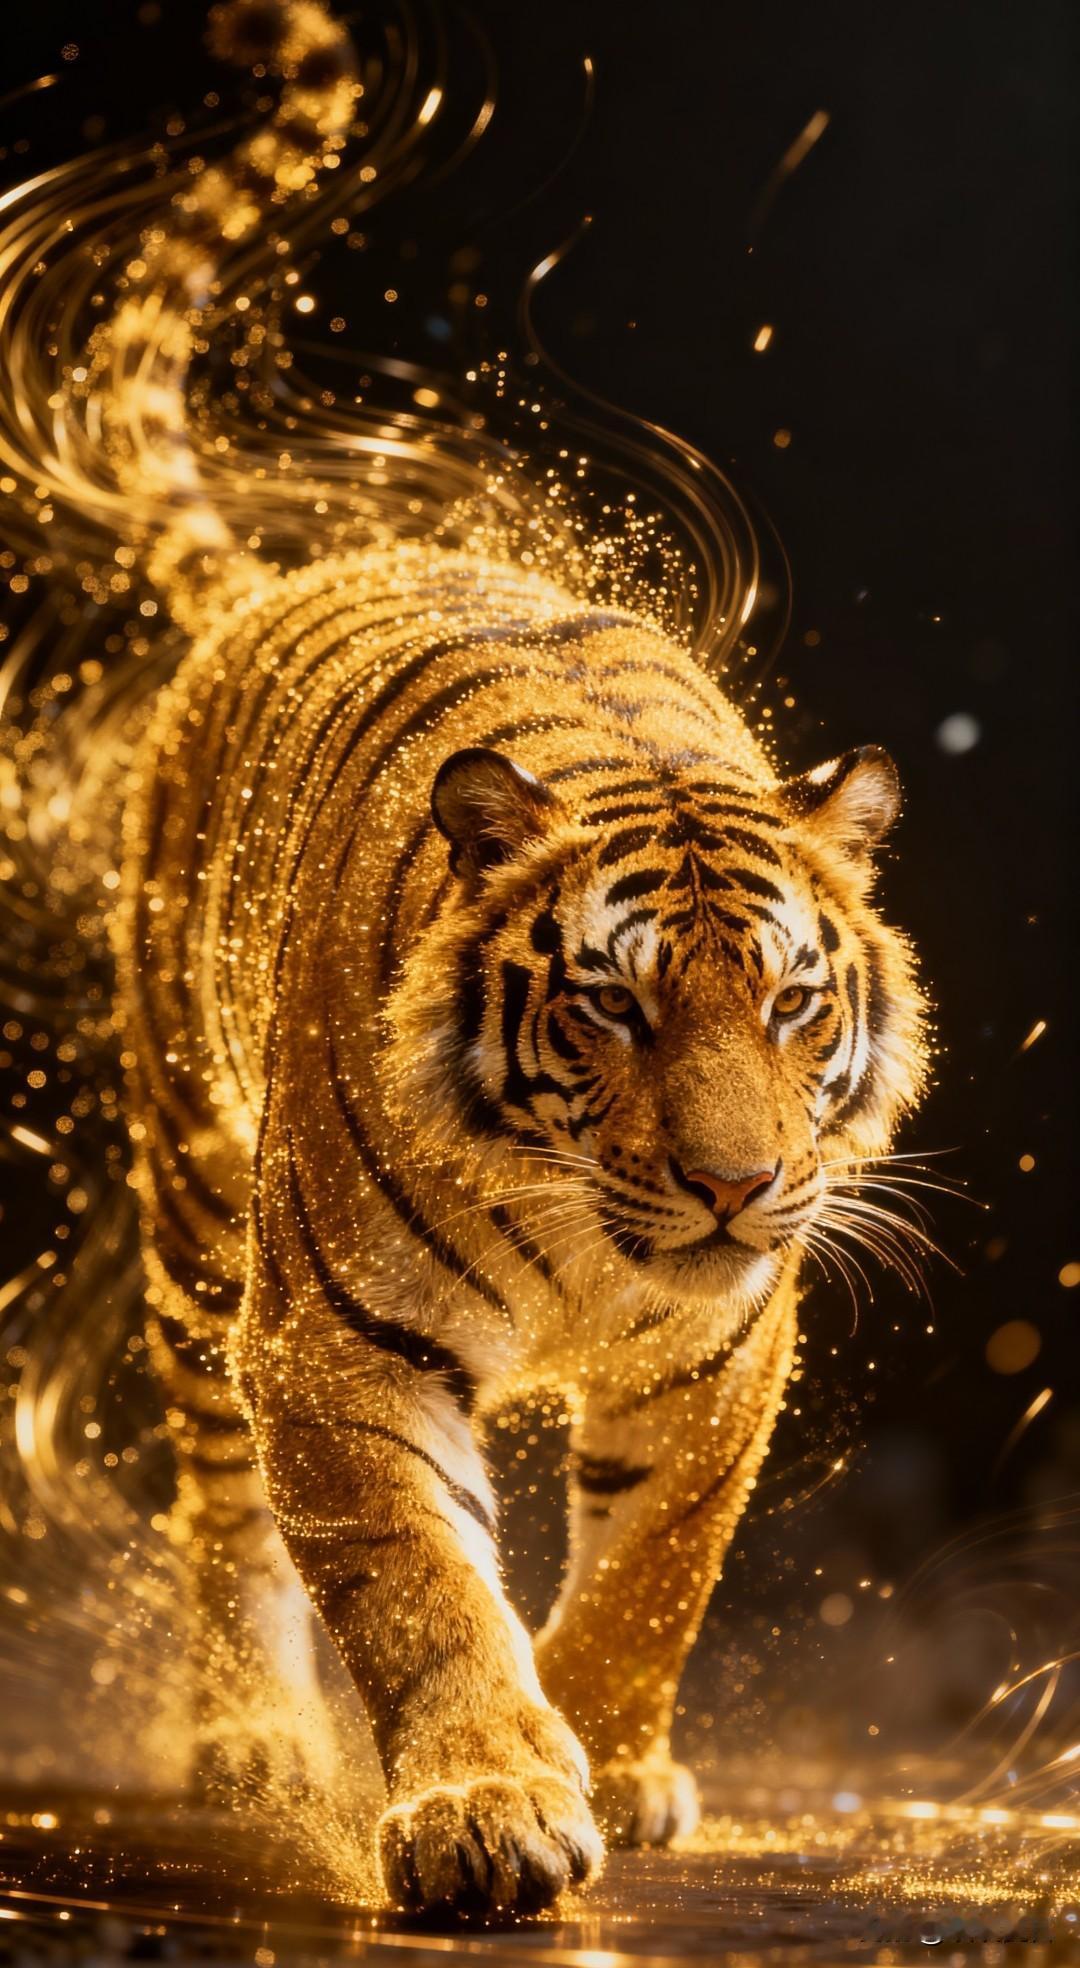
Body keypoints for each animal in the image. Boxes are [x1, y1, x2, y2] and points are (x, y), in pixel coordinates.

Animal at [49, 0, 928, 1923]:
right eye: (614, 1003)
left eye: (792, 1003)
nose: (737, 1184)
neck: (582, 1235)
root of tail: (286, 571)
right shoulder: (337, 1348)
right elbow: (420, 1588)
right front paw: (488, 1808)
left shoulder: (720, 1354)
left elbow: (653, 1576)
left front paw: (617, 1758)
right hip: (196, 1209)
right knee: (219, 1504)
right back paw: (253, 1740)